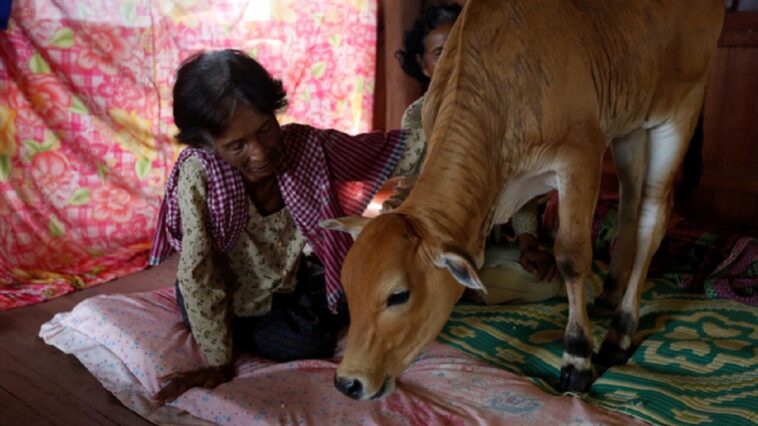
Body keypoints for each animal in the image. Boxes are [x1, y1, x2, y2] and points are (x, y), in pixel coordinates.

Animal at [324, 0, 728, 400]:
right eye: (347, 286)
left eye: (398, 295)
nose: (347, 382)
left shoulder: (580, 158)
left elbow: (571, 257)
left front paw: (577, 358)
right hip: (630, 122)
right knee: (630, 204)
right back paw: (609, 296)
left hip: (680, 109)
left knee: (651, 217)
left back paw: (620, 333)